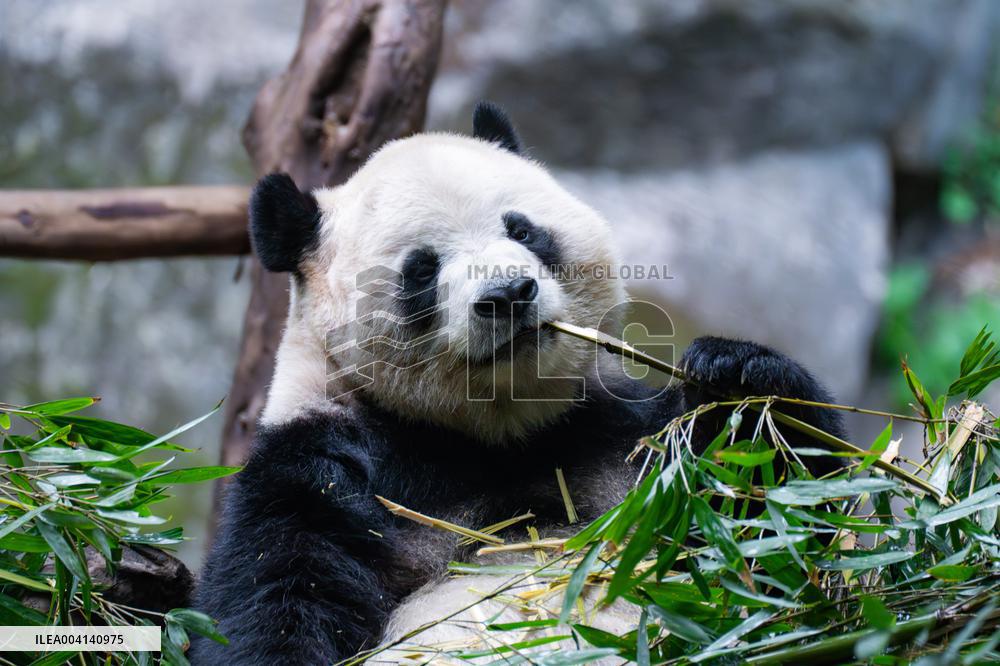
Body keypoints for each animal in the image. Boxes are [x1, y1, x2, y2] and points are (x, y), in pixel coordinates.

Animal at [191, 102, 844, 664]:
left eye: (523, 230)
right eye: (421, 268)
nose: (507, 294)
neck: (499, 428)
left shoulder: (617, 430)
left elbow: (785, 538)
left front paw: (737, 379)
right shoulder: (320, 461)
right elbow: (275, 593)